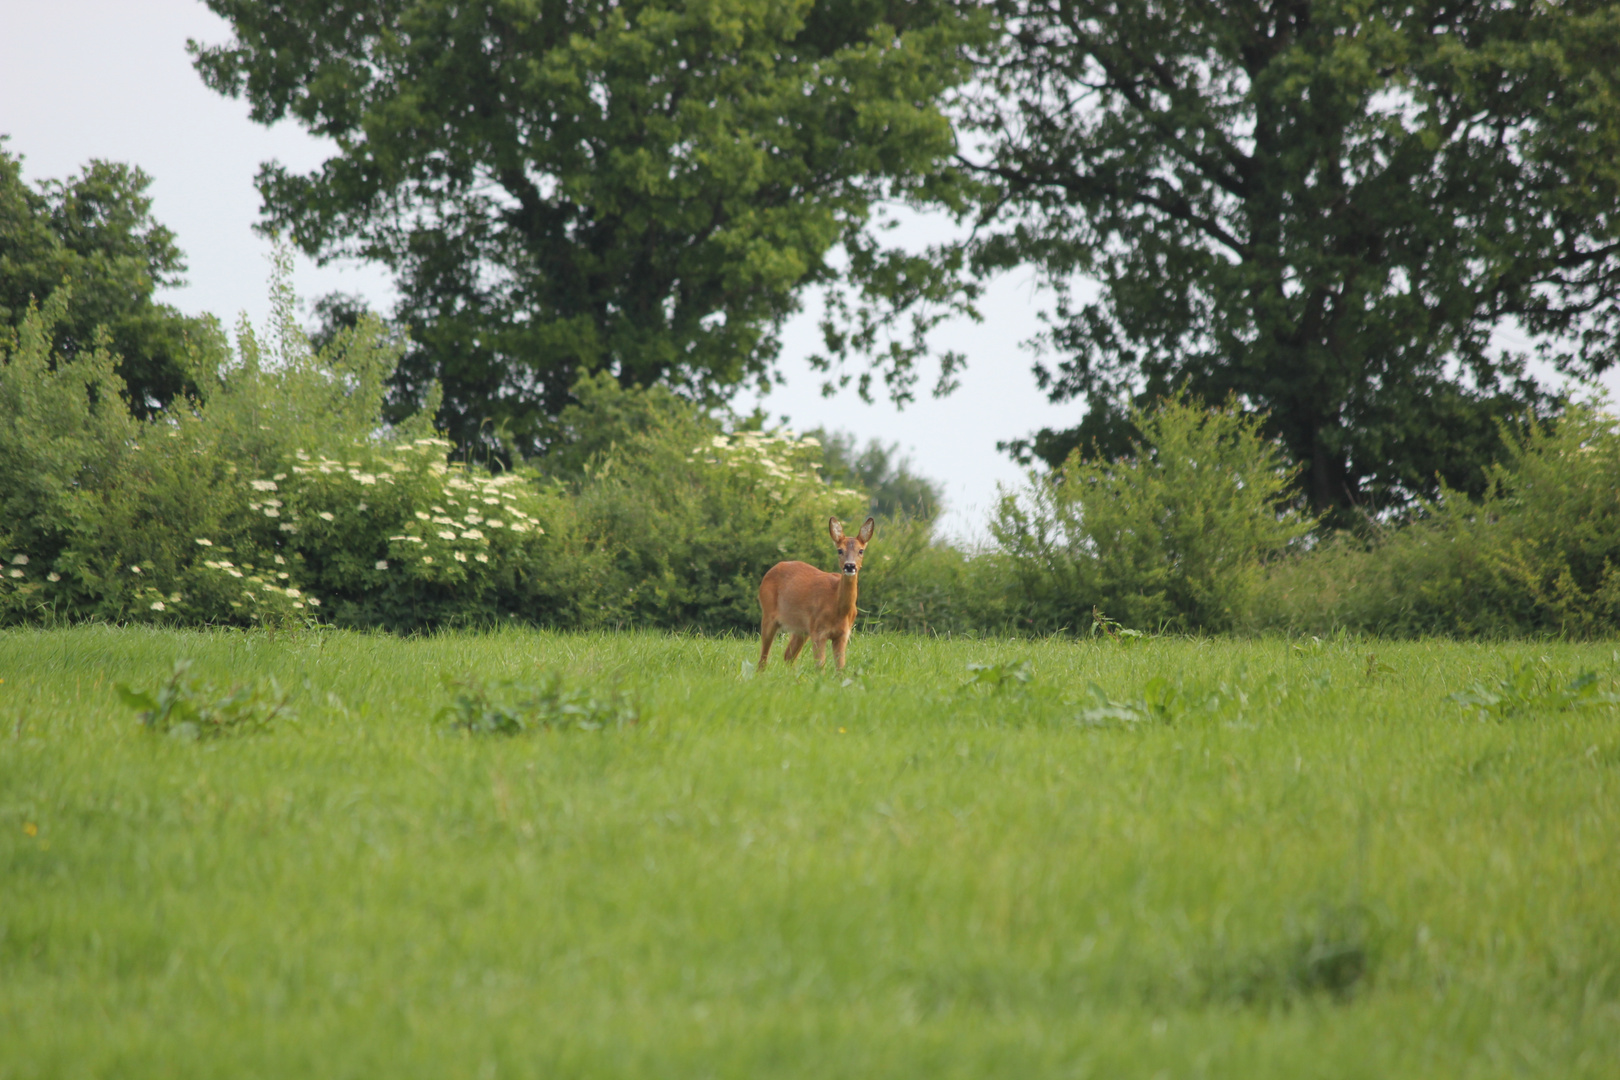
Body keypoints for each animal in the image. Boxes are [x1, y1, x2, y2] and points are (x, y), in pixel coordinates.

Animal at [754, 518, 874, 676]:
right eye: (839, 550)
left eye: (861, 550)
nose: (850, 566)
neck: (837, 607)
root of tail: (770, 571)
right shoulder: (818, 631)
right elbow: (820, 666)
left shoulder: (843, 634)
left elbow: (840, 668)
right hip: (769, 613)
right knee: (763, 658)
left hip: (801, 628)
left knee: (788, 655)